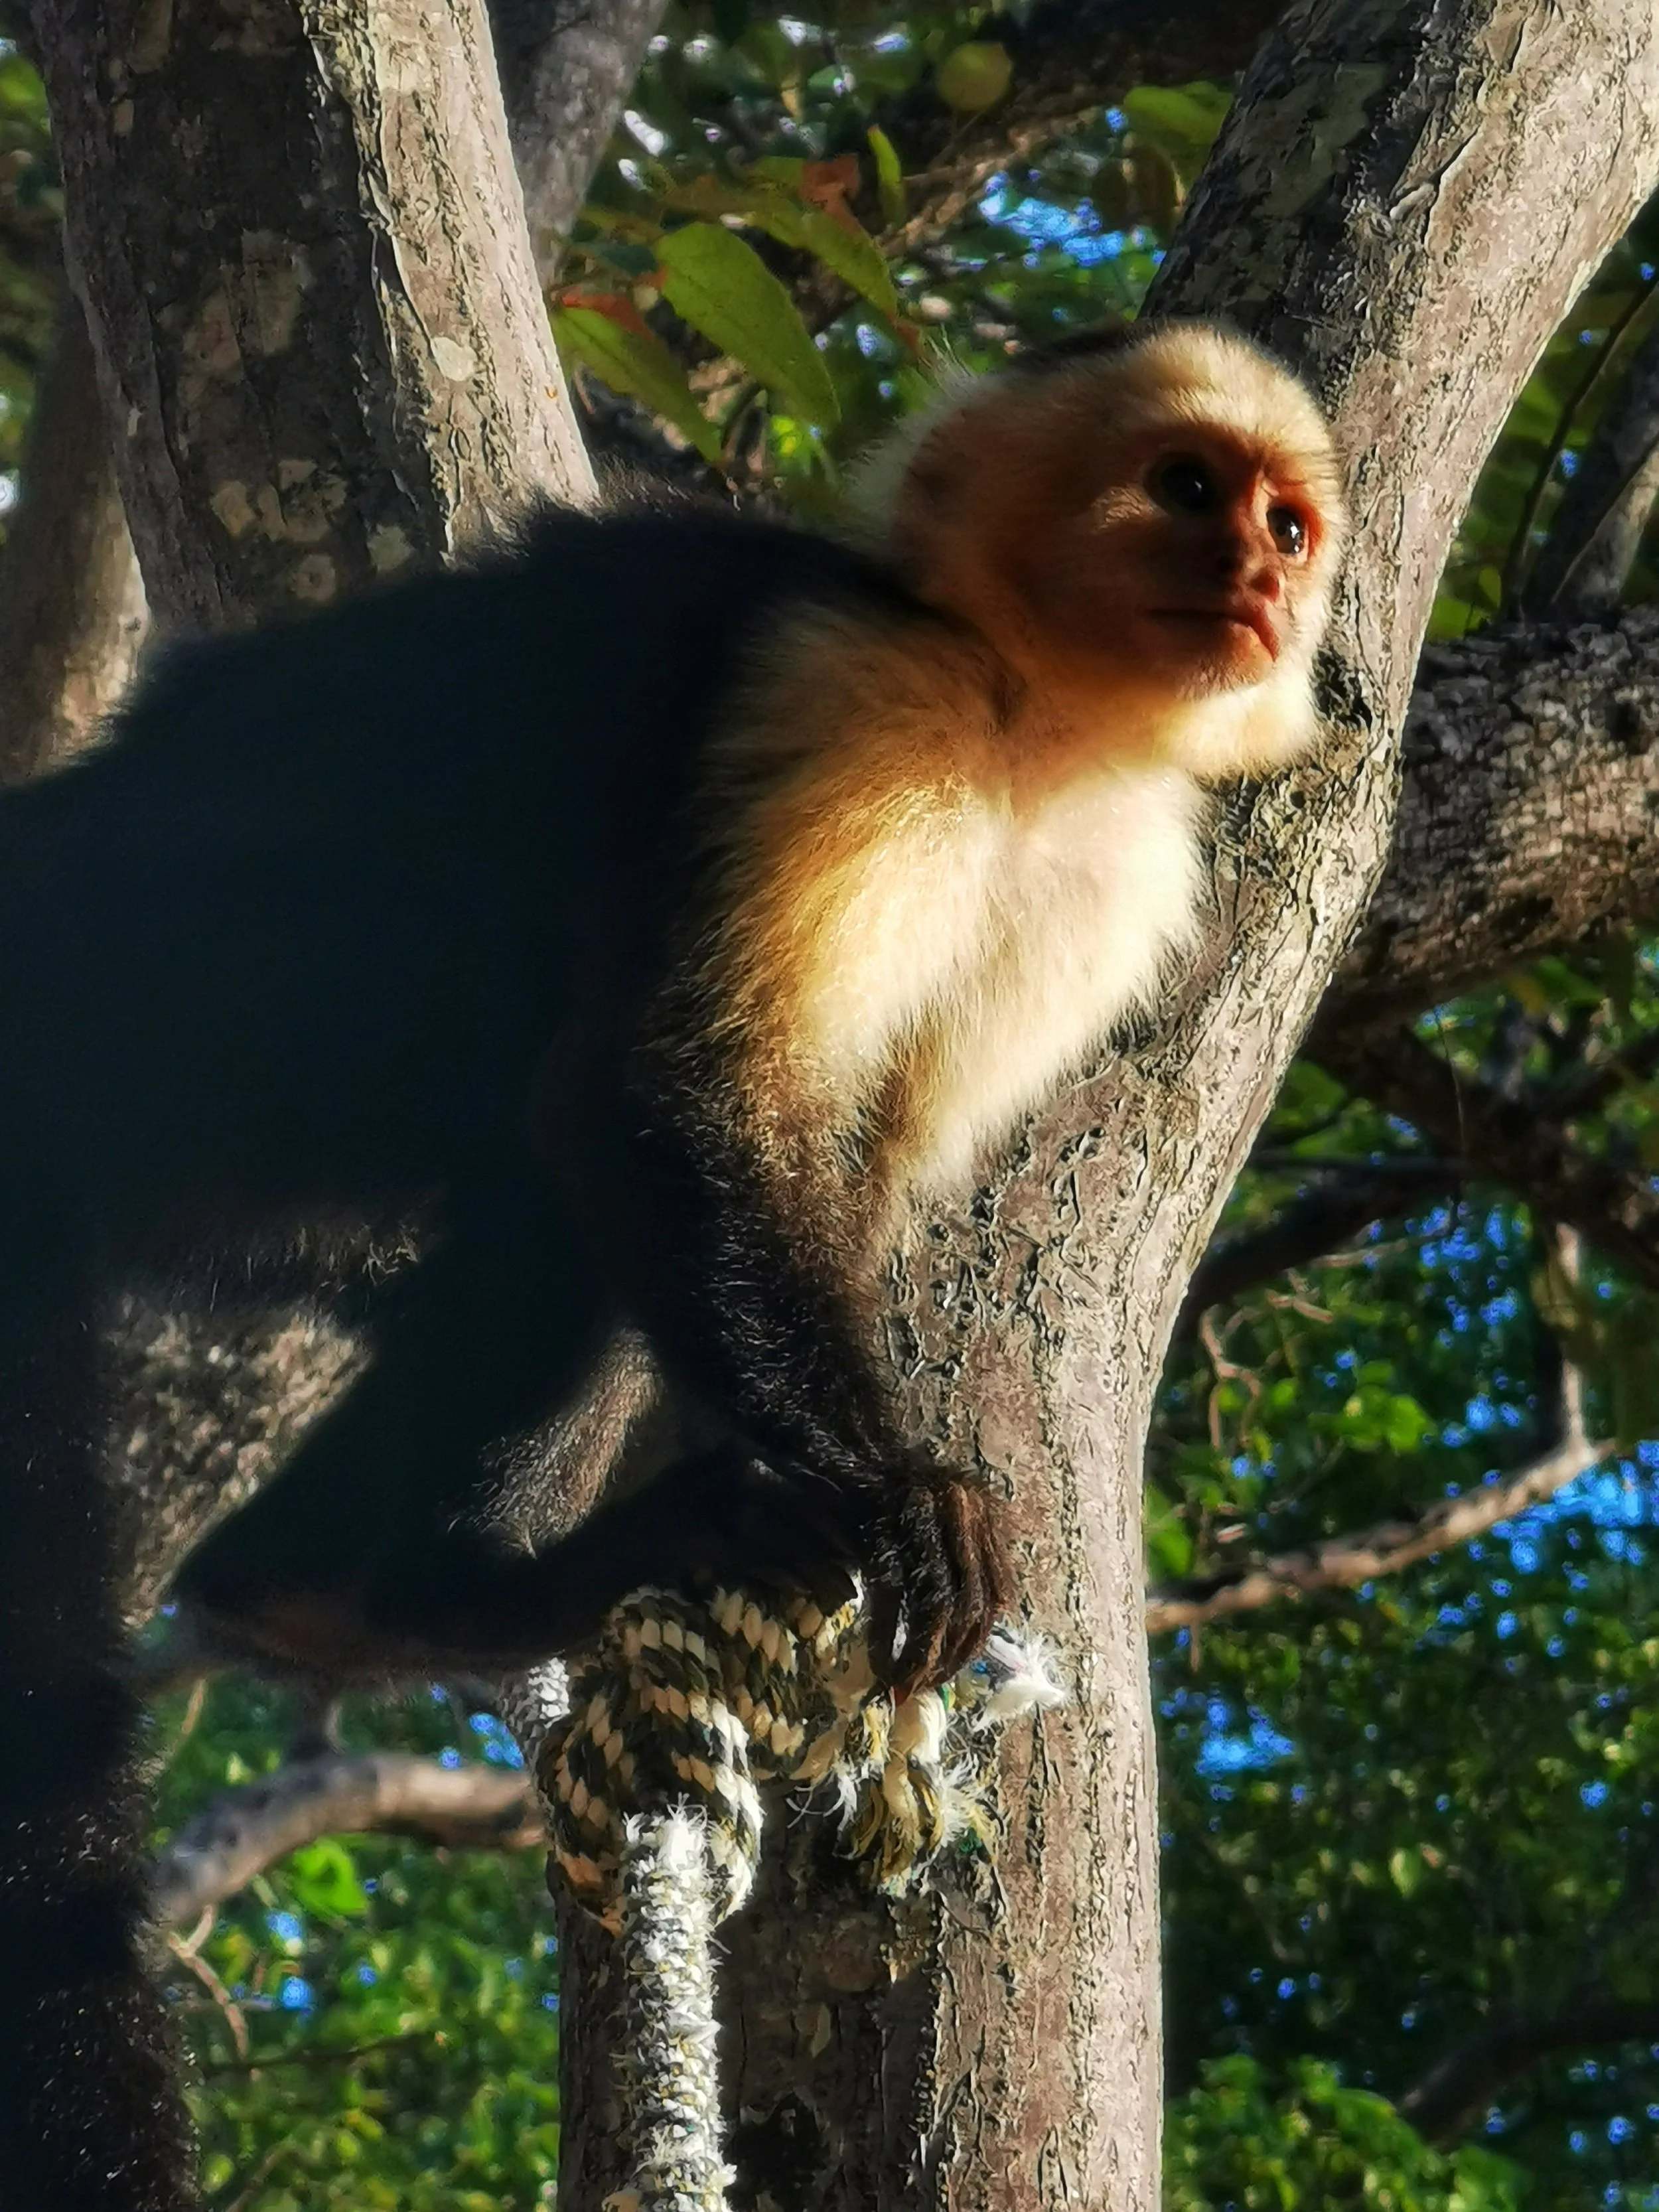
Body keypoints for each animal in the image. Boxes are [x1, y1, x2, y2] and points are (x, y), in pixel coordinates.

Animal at [0, 318, 1345, 2209]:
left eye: (1288, 522)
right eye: (1183, 485)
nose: (1260, 579)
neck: (1031, 714)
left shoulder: (1113, 874)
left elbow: (849, 1180)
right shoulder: (853, 689)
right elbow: (668, 1098)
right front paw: (889, 1491)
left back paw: (322, 1587)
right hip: (202, 986)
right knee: (540, 1093)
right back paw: (415, 1584)